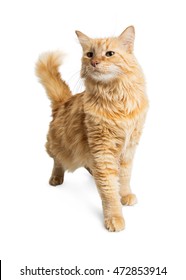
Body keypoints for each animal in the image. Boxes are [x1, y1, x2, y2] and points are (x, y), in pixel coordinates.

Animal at [36, 26, 148, 232]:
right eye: (89, 54)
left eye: (109, 54)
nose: (95, 62)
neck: (115, 97)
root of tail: (62, 103)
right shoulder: (102, 149)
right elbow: (108, 189)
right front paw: (114, 217)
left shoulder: (129, 147)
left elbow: (125, 176)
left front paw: (125, 194)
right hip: (57, 145)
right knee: (58, 161)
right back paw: (56, 178)